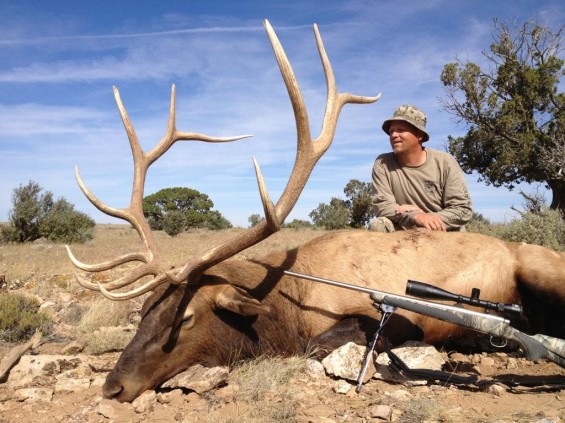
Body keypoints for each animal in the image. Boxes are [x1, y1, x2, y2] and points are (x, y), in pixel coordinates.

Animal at [67, 20, 564, 404]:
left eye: (183, 318)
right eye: (144, 310)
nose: (112, 387)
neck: (291, 303)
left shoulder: (393, 317)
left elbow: (319, 347)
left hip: (542, 270)